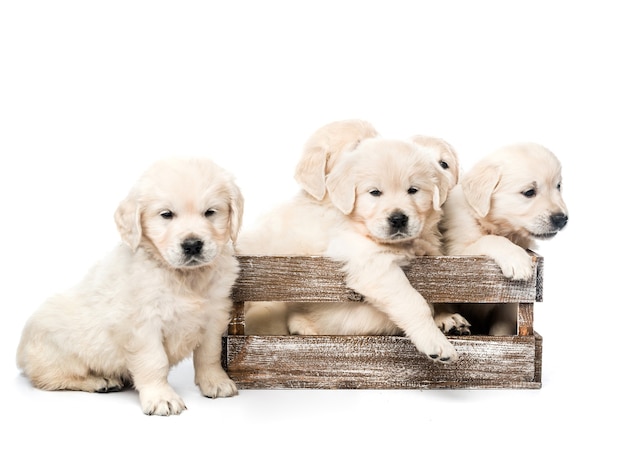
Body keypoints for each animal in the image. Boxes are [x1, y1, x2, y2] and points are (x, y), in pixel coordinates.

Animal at [17, 158, 241, 416]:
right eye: (166, 215)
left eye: (210, 212)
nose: (193, 245)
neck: (185, 277)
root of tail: (20, 353)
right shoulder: (142, 324)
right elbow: (154, 361)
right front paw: (161, 397)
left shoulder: (215, 315)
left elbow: (210, 354)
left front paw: (215, 381)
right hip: (56, 352)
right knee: (51, 379)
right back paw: (101, 381)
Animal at [236, 120, 466, 362]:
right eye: (374, 192)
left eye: (414, 190)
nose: (398, 219)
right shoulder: (368, 261)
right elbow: (414, 301)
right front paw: (435, 341)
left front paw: (446, 317)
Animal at [438, 141, 564, 334]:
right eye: (529, 192)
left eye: (558, 186)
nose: (562, 219)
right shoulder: (455, 253)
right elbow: (489, 240)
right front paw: (517, 259)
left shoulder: (508, 308)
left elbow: (501, 330)